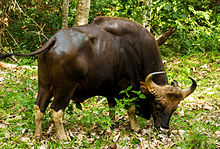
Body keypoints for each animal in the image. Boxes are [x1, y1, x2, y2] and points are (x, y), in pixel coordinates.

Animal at [0, 16, 196, 140]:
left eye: (175, 108)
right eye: (158, 104)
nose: (164, 129)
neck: (135, 50)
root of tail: (54, 40)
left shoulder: (110, 89)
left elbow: (111, 107)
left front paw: (112, 124)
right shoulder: (126, 86)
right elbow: (131, 108)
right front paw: (135, 127)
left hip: (44, 85)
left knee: (38, 108)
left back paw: (38, 135)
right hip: (65, 89)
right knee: (56, 111)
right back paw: (63, 137)